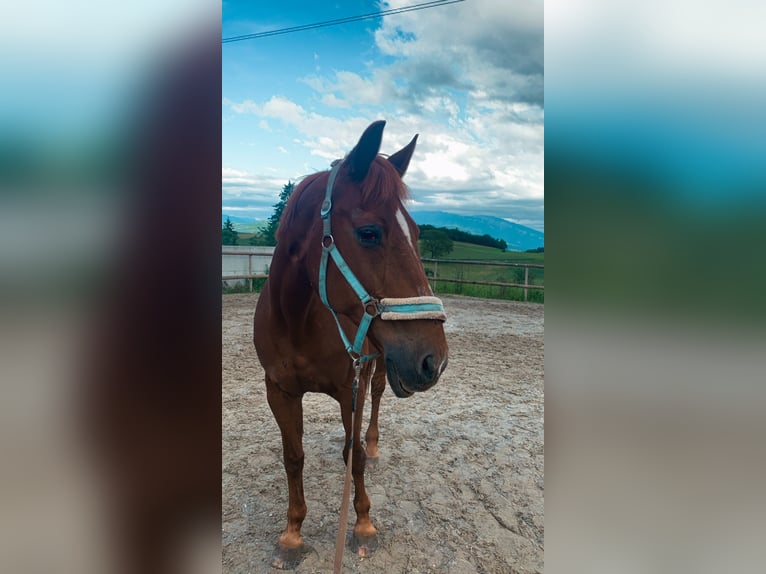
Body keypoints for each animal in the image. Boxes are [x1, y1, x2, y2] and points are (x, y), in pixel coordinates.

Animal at [255, 119, 450, 568]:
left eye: (417, 233)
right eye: (369, 233)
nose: (435, 360)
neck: (297, 320)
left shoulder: (352, 389)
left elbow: (354, 454)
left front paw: (363, 525)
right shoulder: (279, 390)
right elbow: (293, 457)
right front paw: (292, 534)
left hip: (379, 367)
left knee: (376, 404)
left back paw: (375, 444)